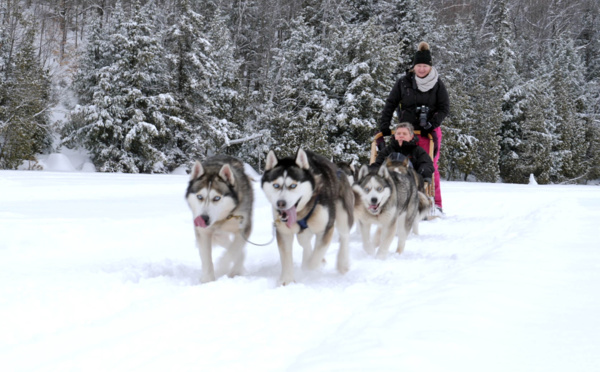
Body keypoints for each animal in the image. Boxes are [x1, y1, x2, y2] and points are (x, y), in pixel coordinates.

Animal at [186, 155, 254, 284]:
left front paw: (222, 267)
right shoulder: (204, 233)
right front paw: (208, 280)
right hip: (218, 235)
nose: (203, 219)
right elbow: (206, 259)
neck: (223, 218)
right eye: (199, 197)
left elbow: (233, 250)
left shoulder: (243, 229)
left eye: (217, 198)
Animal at [262, 148, 354, 284]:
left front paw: (312, 267)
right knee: (304, 241)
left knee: (344, 235)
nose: (280, 203)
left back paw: (343, 263)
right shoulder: (284, 232)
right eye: (276, 185)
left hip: (343, 213)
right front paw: (287, 280)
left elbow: (317, 255)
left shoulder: (326, 228)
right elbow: (286, 257)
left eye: (293, 185)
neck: (302, 211)